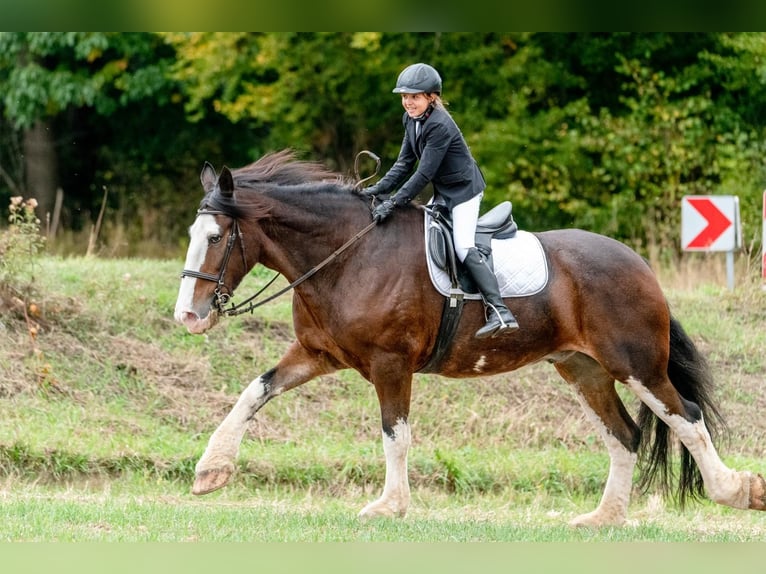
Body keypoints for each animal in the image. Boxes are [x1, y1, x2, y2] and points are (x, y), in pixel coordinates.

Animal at [176, 150, 766, 528]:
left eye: (215, 237)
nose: (188, 316)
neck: (346, 255)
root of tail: (639, 265)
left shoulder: (391, 364)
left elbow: (395, 433)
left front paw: (389, 507)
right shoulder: (318, 355)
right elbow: (254, 392)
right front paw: (210, 471)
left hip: (634, 364)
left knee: (686, 418)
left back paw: (738, 491)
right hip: (584, 368)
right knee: (625, 434)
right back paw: (604, 517)